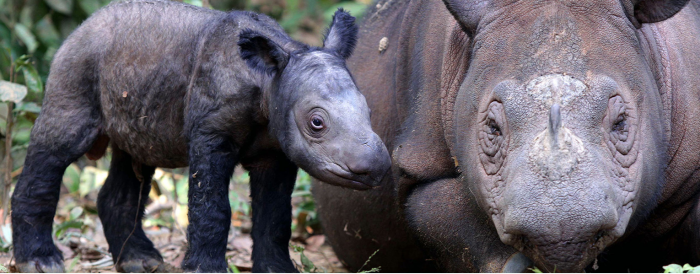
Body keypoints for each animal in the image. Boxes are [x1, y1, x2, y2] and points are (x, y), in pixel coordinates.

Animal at [10, 1, 392, 272]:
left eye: (368, 110)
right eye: (316, 123)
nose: (375, 168)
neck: (270, 80)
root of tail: (81, 27)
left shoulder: (277, 149)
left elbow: (275, 215)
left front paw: (277, 271)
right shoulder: (211, 134)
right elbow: (212, 206)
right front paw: (205, 269)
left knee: (134, 159)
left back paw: (139, 262)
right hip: (76, 64)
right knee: (59, 144)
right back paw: (39, 262)